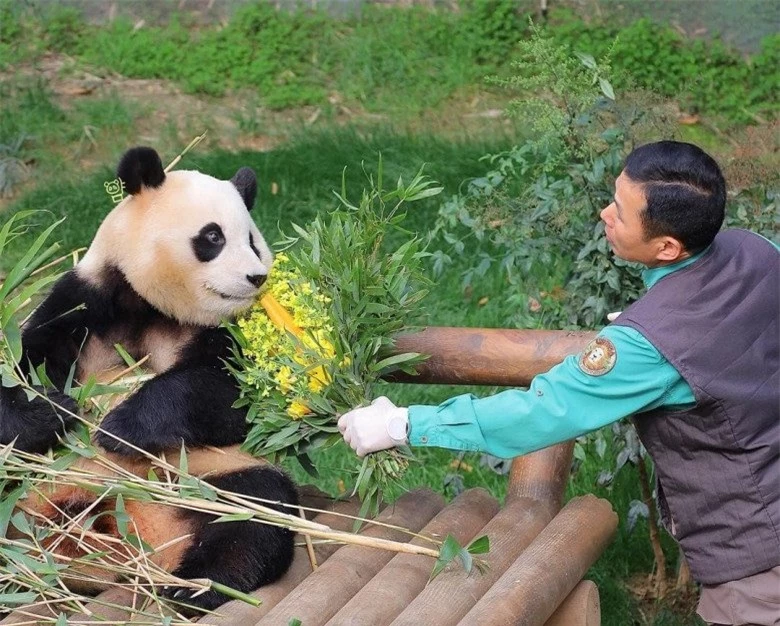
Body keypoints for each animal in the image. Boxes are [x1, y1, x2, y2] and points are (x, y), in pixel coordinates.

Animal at [0, 145, 298, 608]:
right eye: (213, 237)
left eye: (252, 240)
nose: (256, 277)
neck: (155, 306)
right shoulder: (84, 301)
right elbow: (24, 363)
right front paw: (52, 412)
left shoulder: (230, 332)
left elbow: (235, 397)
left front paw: (122, 426)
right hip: (36, 483)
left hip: (210, 473)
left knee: (255, 513)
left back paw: (192, 587)